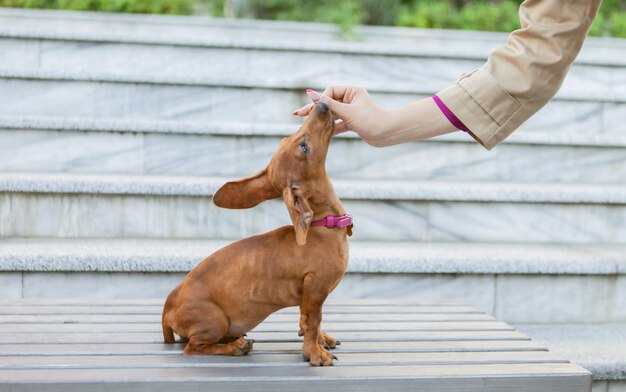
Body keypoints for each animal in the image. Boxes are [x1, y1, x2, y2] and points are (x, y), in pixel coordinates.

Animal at [162, 102, 352, 366]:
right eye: (303, 147)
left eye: (286, 139)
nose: (323, 105)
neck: (322, 224)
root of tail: (167, 308)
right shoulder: (314, 288)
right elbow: (312, 322)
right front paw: (314, 353)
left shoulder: (307, 296)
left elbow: (306, 321)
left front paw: (320, 340)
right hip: (215, 320)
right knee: (193, 347)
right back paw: (236, 348)